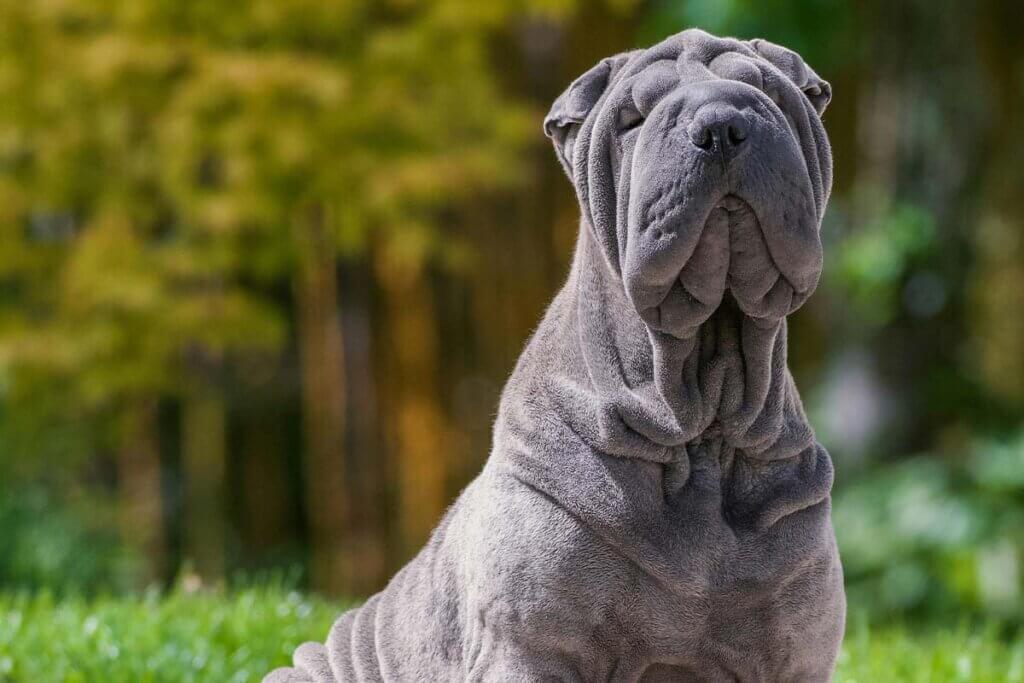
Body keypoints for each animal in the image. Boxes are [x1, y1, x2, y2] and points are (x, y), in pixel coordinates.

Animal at [268, 28, 843, 683]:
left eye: (767, 93)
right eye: (633, 119)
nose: (721, 125)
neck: (702, 427)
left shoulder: (795, 656)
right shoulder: (531, 648)